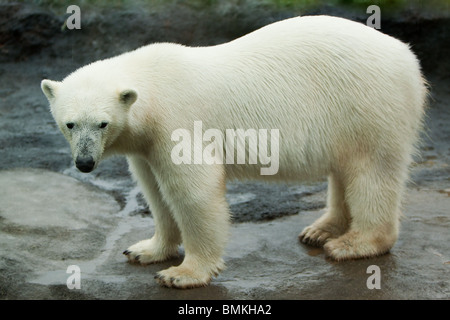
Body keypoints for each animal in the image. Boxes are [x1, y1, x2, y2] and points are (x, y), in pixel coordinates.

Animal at [40, 16, 428, 288]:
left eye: (102, 123)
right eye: (70, 124)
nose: (84, 162)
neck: (152, 86)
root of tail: (407, 55)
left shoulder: (177, 122)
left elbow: (193, 191)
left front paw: (182, 273)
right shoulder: (146, 143)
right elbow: (154, 190)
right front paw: (145, 249)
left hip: (367, 103)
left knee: (371, 171)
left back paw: (352, 243)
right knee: (344, 168)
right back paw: (320, 231)